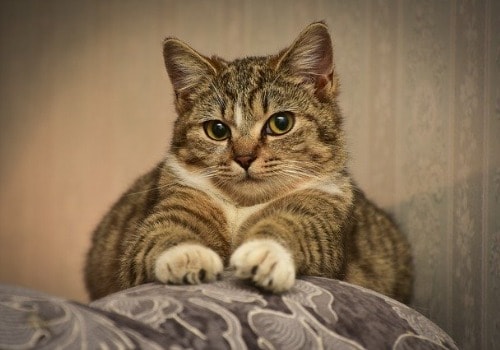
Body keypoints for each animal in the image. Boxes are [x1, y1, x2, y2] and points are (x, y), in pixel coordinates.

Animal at [85, 21, 414, 304]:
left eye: (281, 123)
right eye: (217, 129)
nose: (244, 158)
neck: (242, 206)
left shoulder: (321, 209)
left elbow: (294, 226)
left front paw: (265, 254)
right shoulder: (175, 202)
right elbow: (160, 233)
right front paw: (188, 256)